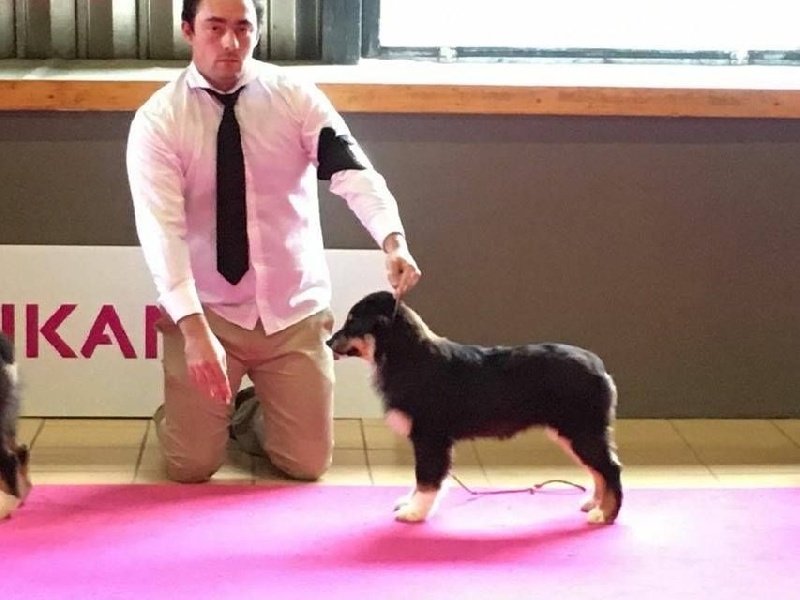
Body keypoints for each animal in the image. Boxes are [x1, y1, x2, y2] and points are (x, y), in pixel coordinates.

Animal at [328, 291, 622, 525]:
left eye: (352, 321)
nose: (328, 341)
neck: (406, 357)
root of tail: (600, 368)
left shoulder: (430, 436)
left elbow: (426, 477)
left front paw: (415, 512)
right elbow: (423, 477)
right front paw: (410, 503)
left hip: (581, 430)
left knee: (610, 468)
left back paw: (604, 515)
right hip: (572, 433)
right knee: (599, 469)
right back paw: (594, 504)